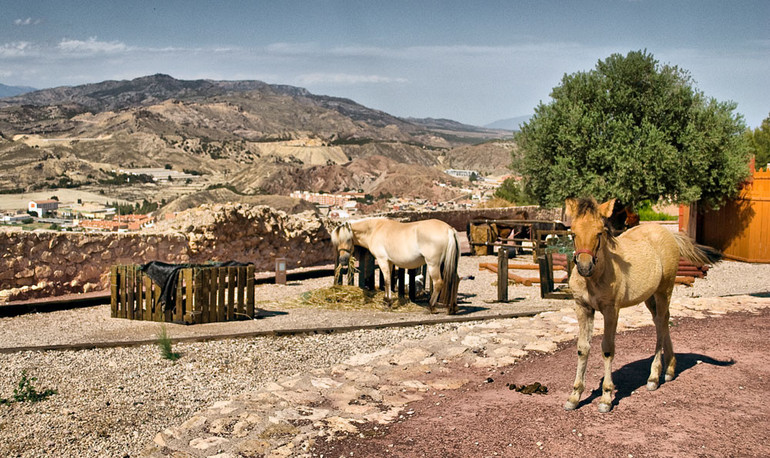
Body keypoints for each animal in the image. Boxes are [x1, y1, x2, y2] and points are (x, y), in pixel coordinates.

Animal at [328, 219, 460, 314]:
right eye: (337, 242)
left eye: (348, 239)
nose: (343, 260)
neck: (375, 229)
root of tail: (449, 229)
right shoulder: (390, 262)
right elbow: (389, 279)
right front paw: (386, 299)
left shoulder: (382, 260)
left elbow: (387, 280)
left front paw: (388, 303)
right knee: (456, 279)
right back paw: (453, 308)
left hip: (433, 264)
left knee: (438, 283)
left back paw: (431, 307)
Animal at [560, 197, 716, 412]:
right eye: (573, 232)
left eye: (600, 232)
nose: (585, 266)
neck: (595, 278)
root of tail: (669, 233)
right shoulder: (583, 308)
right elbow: (583, 348)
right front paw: (574, 396)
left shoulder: (611, 310)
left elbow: (607, 348)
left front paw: (606, 398)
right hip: (649, 297)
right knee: (661, 322)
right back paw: (670, 369)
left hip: (664, 290)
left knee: (662, 324)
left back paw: (654, 377)